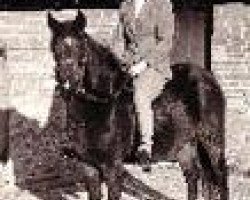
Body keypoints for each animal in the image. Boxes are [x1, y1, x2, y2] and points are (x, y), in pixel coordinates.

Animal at [47, 10, 228, 200]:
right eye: (54, 47)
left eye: (80, 46)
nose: (67, 81)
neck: (100, 102)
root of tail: (209, 78)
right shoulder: (88, 166)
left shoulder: (112, 167)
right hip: (185, 143)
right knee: (193, 175)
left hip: (212, 140)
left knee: (220, 175)